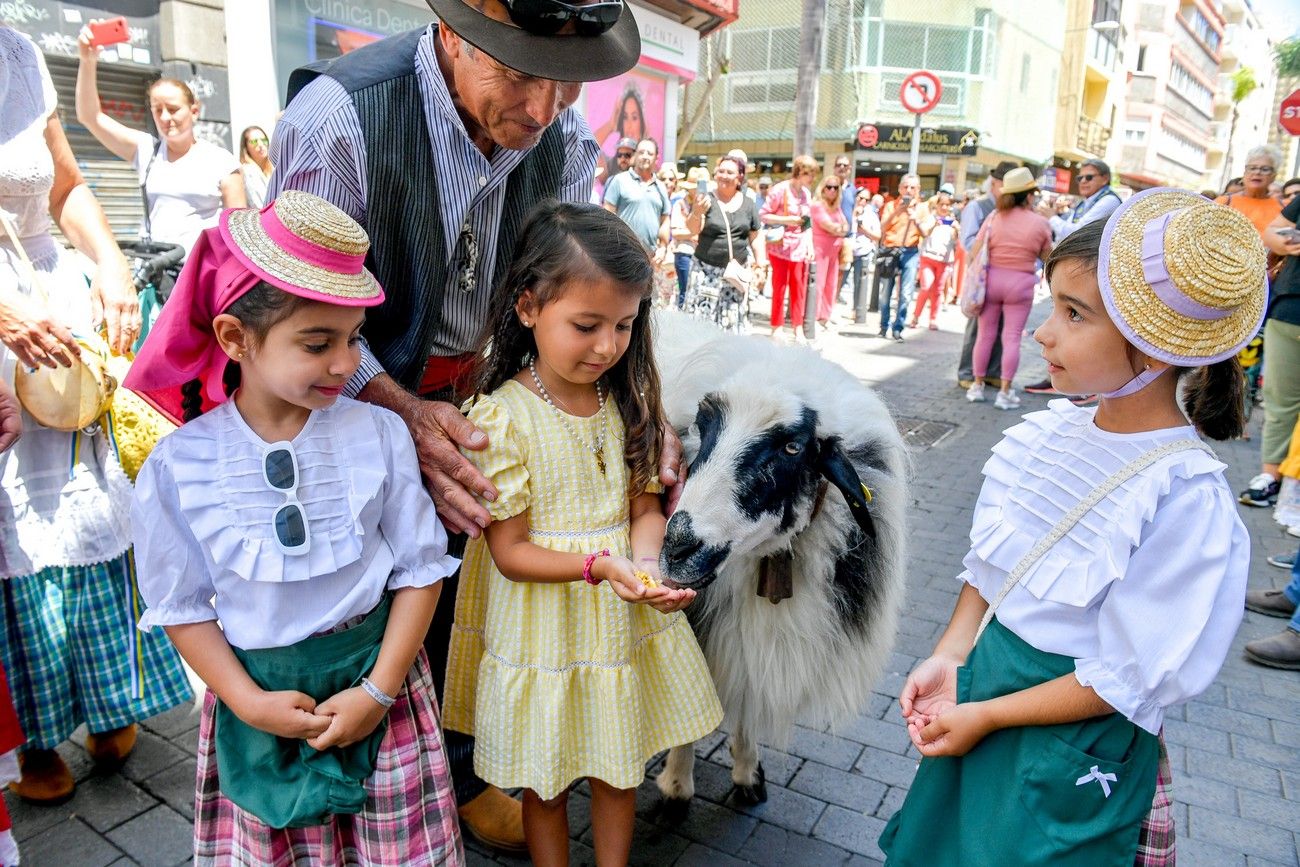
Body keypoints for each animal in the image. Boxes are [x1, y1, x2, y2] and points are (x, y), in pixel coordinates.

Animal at [650, 315, 904, 811]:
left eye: (792, 448)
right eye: (703, 427)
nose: (678, 548)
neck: (768, 557)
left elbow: (749, 693)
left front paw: (749, 773)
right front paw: (675, 786)